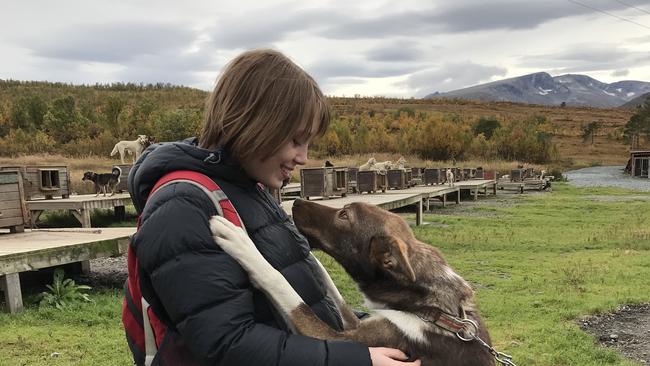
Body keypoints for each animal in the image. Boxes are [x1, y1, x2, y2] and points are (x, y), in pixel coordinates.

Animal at [210, 200, 494, 366]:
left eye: (344, 215)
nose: (296, 201)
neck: (430, 310)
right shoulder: (357, 325)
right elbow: (334, 291)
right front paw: (311, 256)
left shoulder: (337, 338)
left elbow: (287, 290)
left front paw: (241, 243)